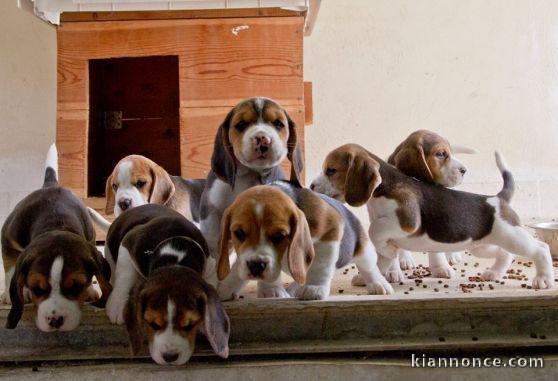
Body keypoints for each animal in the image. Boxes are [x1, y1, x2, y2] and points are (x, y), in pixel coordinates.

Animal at [0, 144, 112, 332]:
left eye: (76, 287)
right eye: (37, 289)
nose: (55, 320)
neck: (56, 224)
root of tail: (51, 185)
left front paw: (89, 289)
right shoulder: (8, 239)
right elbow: (10, 267)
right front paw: (11, 294)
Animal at [104, 203, 229, 364]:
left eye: (189, 326)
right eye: (153, 325)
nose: (170, 357)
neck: (175, 258)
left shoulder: (210, 266)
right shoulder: (129, 243)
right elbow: (125, 274)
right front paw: (118, 304)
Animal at [200, 97, 306, 258]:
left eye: (278, 124)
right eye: (241, 125)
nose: (263, 139)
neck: (251, 174)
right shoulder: (211, 211)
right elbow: (213, 240)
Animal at [312, 144, 556, 290]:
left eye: (331, 170)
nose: (312, 186)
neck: (383, 188)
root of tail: (498, 199)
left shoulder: (407, 222)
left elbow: (376, 231)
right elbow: (382, 258)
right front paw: (369, 277)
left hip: (513, 237)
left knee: (540, 249)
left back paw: (543, 279)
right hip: (484, 245)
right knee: (505, 254)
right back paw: (494, 273)